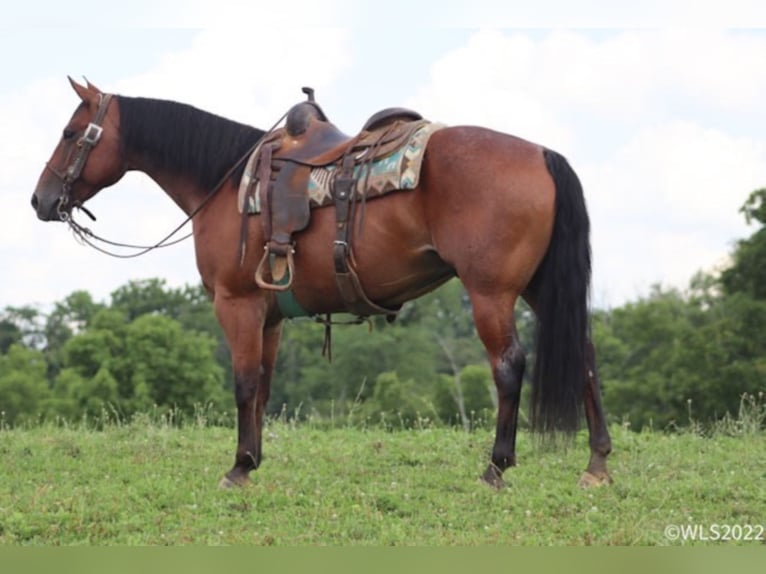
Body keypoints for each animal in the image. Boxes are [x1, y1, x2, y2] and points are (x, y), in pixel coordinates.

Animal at [33, 76, 616, 490]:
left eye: (69, 134)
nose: (41, 199)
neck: (226, 182)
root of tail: (541, 154)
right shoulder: (269, 314)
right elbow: (263, 386)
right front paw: (253, 461)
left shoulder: (236, 305)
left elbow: (242, 382)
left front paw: (237, 467)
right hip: (540, 289)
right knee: (584, 355)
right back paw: (597, 464)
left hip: (491, 293)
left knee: (509, 365)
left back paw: (496, 467)